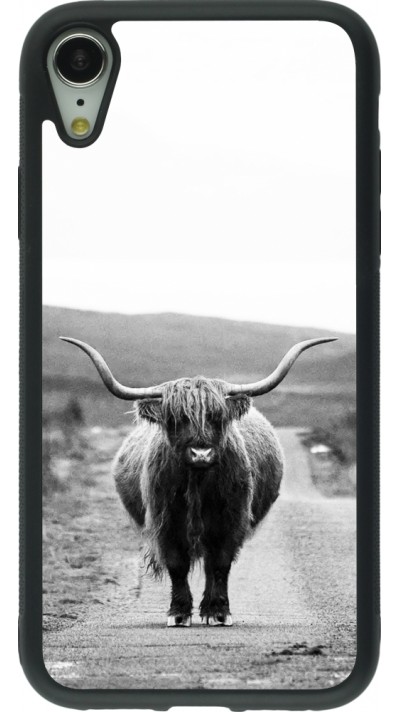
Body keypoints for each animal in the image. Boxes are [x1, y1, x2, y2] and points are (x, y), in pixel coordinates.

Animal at [61, 335, 336, 627]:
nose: (201, 453)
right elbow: (177, 565)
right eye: (176, 419)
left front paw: (218, 611)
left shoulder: (231, 521)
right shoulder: (166, 522)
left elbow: (220, 564)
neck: (198, 483)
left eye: (217, 417)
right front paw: (179, 613)